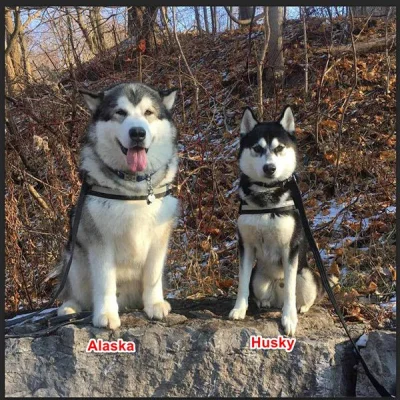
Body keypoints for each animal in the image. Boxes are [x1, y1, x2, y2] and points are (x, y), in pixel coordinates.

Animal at [53, 83, 178, 330]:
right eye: (120, 112)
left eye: (148, 112)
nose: (137, 133)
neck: (133, 187)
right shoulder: (100, 241)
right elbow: (104, 282)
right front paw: (106, 314)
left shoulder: (159, 237)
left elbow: (152, 275)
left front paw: (154, 304)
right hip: (75, 259)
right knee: (76, 291)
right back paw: (69, 306)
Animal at [228, 107, 334, 338]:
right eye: (257, 148)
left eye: (279, 148)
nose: (270, 168)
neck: (266, 195)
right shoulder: (245, 246)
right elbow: (241, 282)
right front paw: (239, 309)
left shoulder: (290, 248)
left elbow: (291, 293)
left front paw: (289, 318)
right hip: (258, 279)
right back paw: (265, 302)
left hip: (308, 276)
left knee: (303, 294)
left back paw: (301, 307)